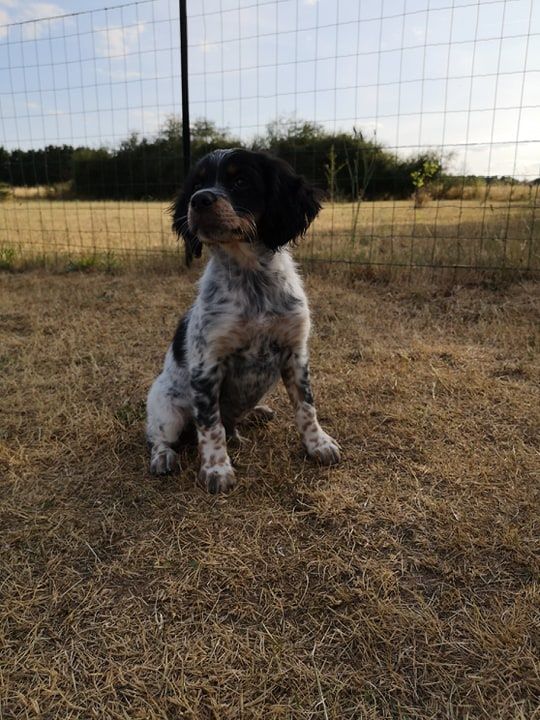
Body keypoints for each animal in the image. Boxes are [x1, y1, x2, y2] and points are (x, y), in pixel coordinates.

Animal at [146, 148, 341, 493]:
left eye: (240, 182)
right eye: (197, 184)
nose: (199, 200)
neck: (252, 278)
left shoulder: (296, 353)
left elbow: (306, 406)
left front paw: (318, 444)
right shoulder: (207, 365)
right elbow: (210, 426)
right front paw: (216, 469)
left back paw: (256, 414)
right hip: (166, 410)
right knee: (161, 436)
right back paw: (163, 457)